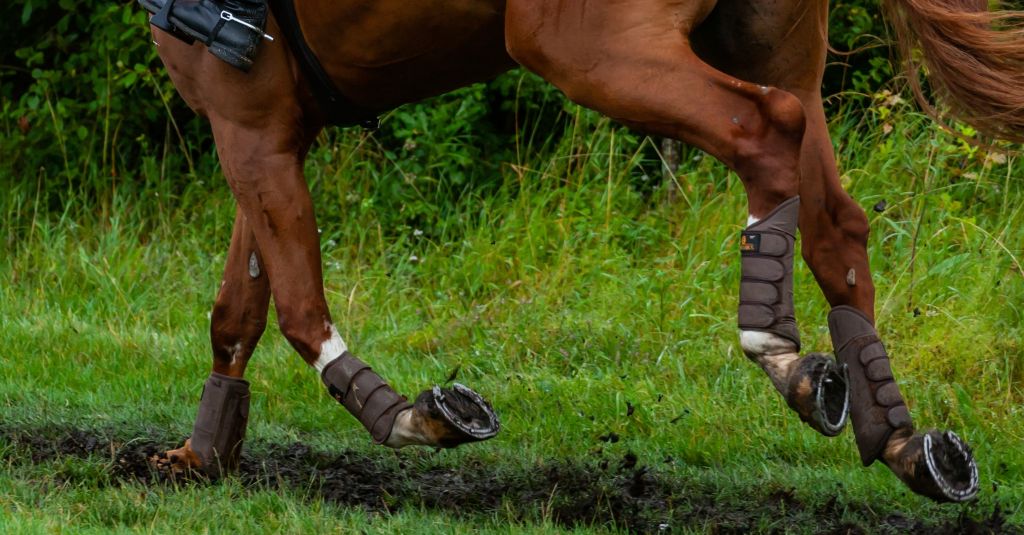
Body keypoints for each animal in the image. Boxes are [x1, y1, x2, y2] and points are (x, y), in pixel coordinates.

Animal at [143, 0, 1024, 502]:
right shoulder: (264, 124)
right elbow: (237, 309)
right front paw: (201, 453)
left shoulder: (249, 125)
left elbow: (295, 307)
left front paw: (409, 415)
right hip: (769, 42)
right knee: (834, 219)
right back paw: (903, 439)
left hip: (586, 46)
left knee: (762, 130)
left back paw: (779, 350)